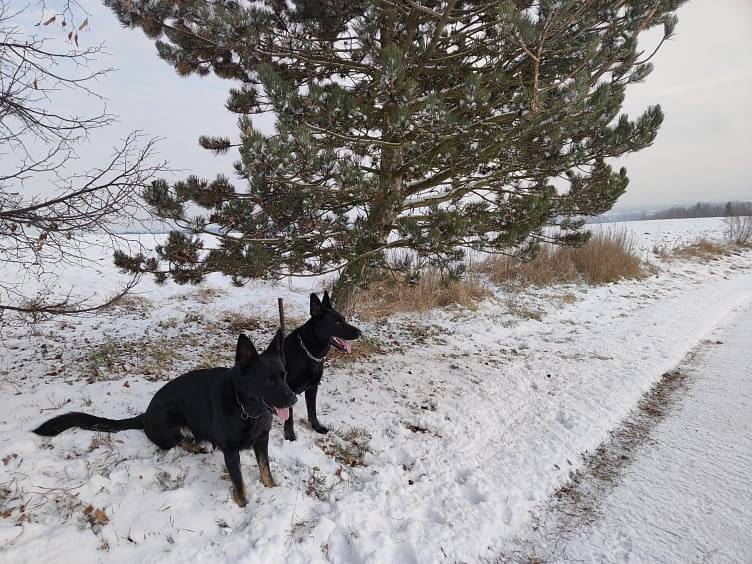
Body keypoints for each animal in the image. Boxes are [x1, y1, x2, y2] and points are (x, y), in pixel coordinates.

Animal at [33, 330, 296, 506]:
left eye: (284, 374)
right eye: (268, 379)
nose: (293, 399)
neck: (246, 408)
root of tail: (145, 415)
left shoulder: (262, 440)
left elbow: (265, 467)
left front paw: (271, 487)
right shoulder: (230, 451)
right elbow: (238, 479)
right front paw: (242, 501)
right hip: (171, 411)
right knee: (174, 442)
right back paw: (194, 445)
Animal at [284, 290, 362, 440]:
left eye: (344, 319)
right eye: (337, 322)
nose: (360, 332)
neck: (309, 352)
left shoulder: (313, 387)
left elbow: (312, 411)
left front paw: (317, 427)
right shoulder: (288, 390)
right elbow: (289, 417)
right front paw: (290, 435)